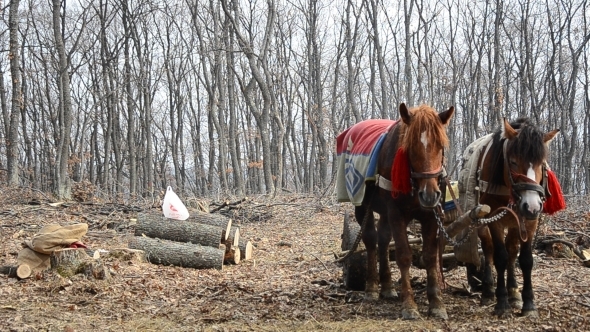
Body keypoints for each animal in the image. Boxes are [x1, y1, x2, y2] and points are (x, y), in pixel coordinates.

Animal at [340, 103, 456, 320]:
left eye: (440, 146)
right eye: (410, 147)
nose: (429, 194)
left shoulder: (431, 216)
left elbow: (430, 257)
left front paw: (436, 303)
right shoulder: (396, 213)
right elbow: (403, 255)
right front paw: (409, 305)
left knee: (383, 239)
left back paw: (387, 286)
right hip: (362, 206)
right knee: (371, 240)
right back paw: (372, 287)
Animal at [470, 118, 560, 318]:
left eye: (541, 163)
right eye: (512, 162)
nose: (532, 206)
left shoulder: (530, 221)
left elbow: (525, 259)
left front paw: (528, 303)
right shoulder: (494, 218)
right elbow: (500, 257)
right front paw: (501, 302)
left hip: (514, 222)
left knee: (512, 249)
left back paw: (513, 293)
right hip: (482, 221)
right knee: (488, 249)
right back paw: (488, 292)